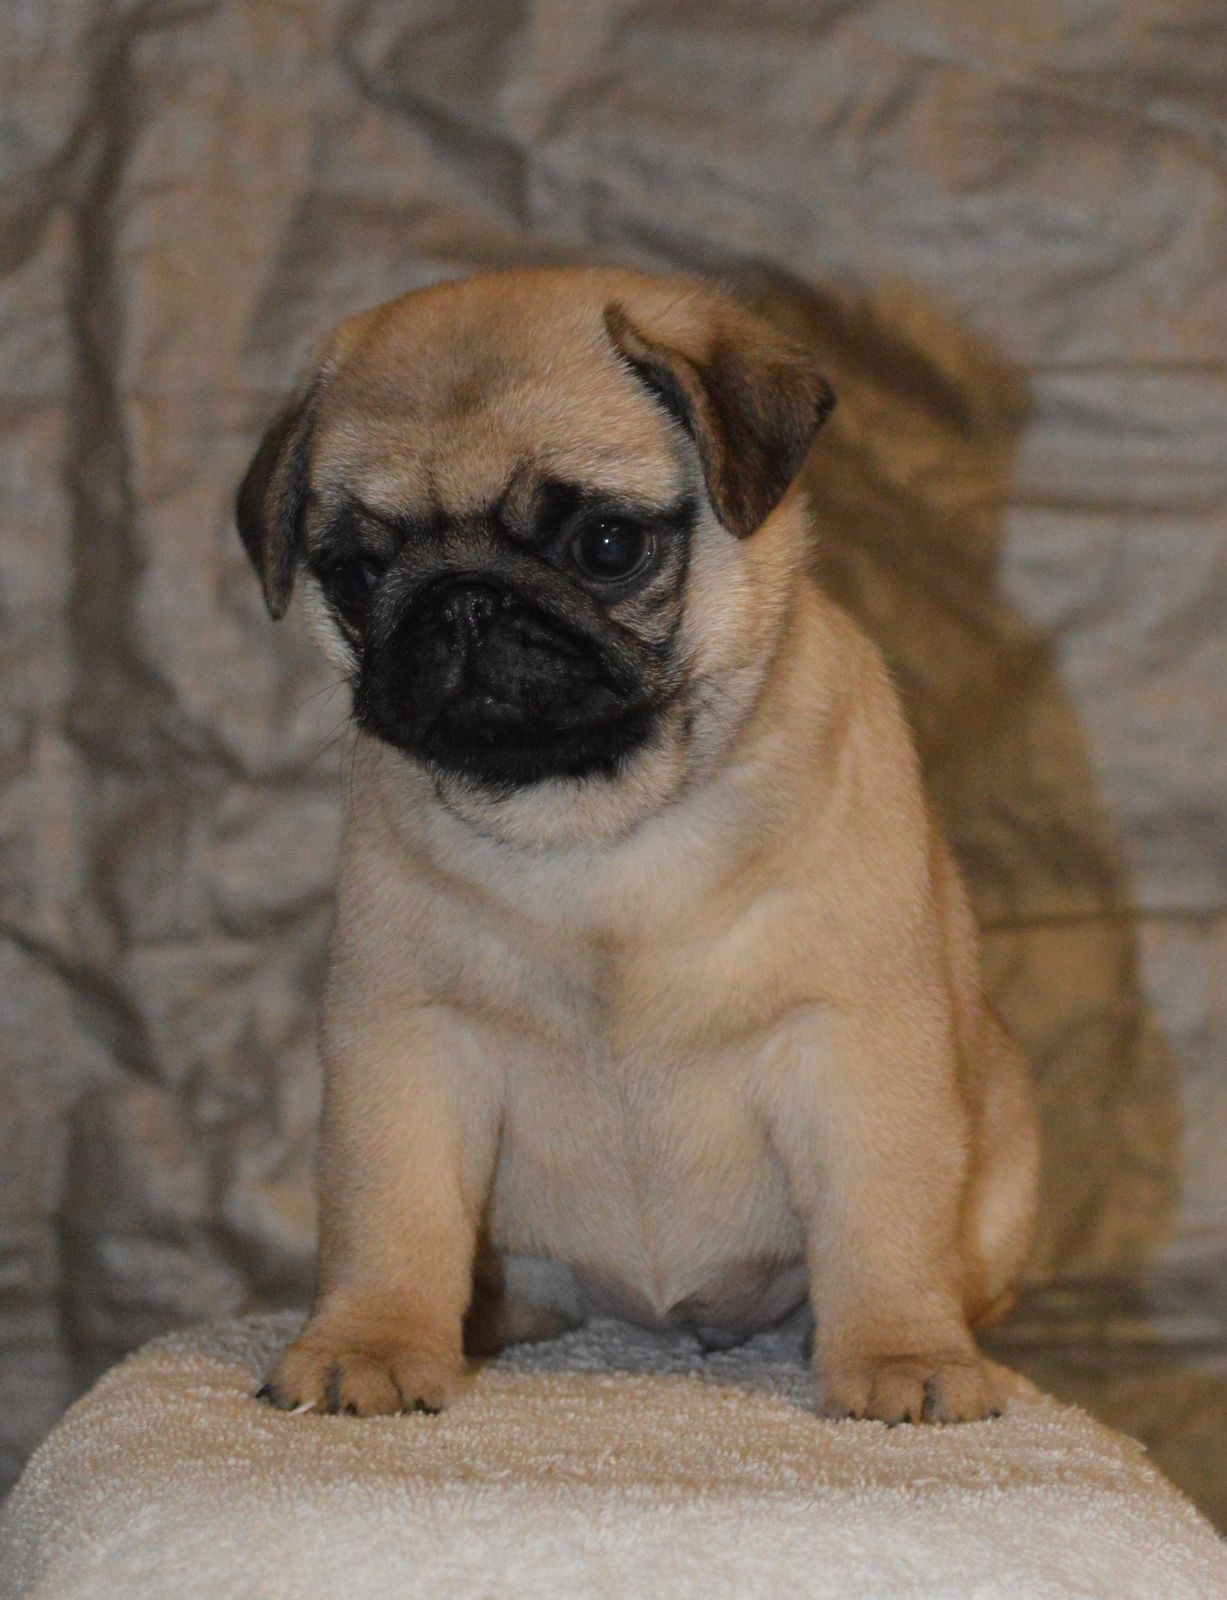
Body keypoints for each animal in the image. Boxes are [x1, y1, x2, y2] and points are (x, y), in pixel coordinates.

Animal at [237, 267, 1039, 1424]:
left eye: (606, 545)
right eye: (354, 571)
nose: (462, 600)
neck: (595, 824)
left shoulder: (855, 1040)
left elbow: (882, 1217)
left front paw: (898, 1355)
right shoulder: (405, 1041)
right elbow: (390, 1210)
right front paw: (372, 1342)